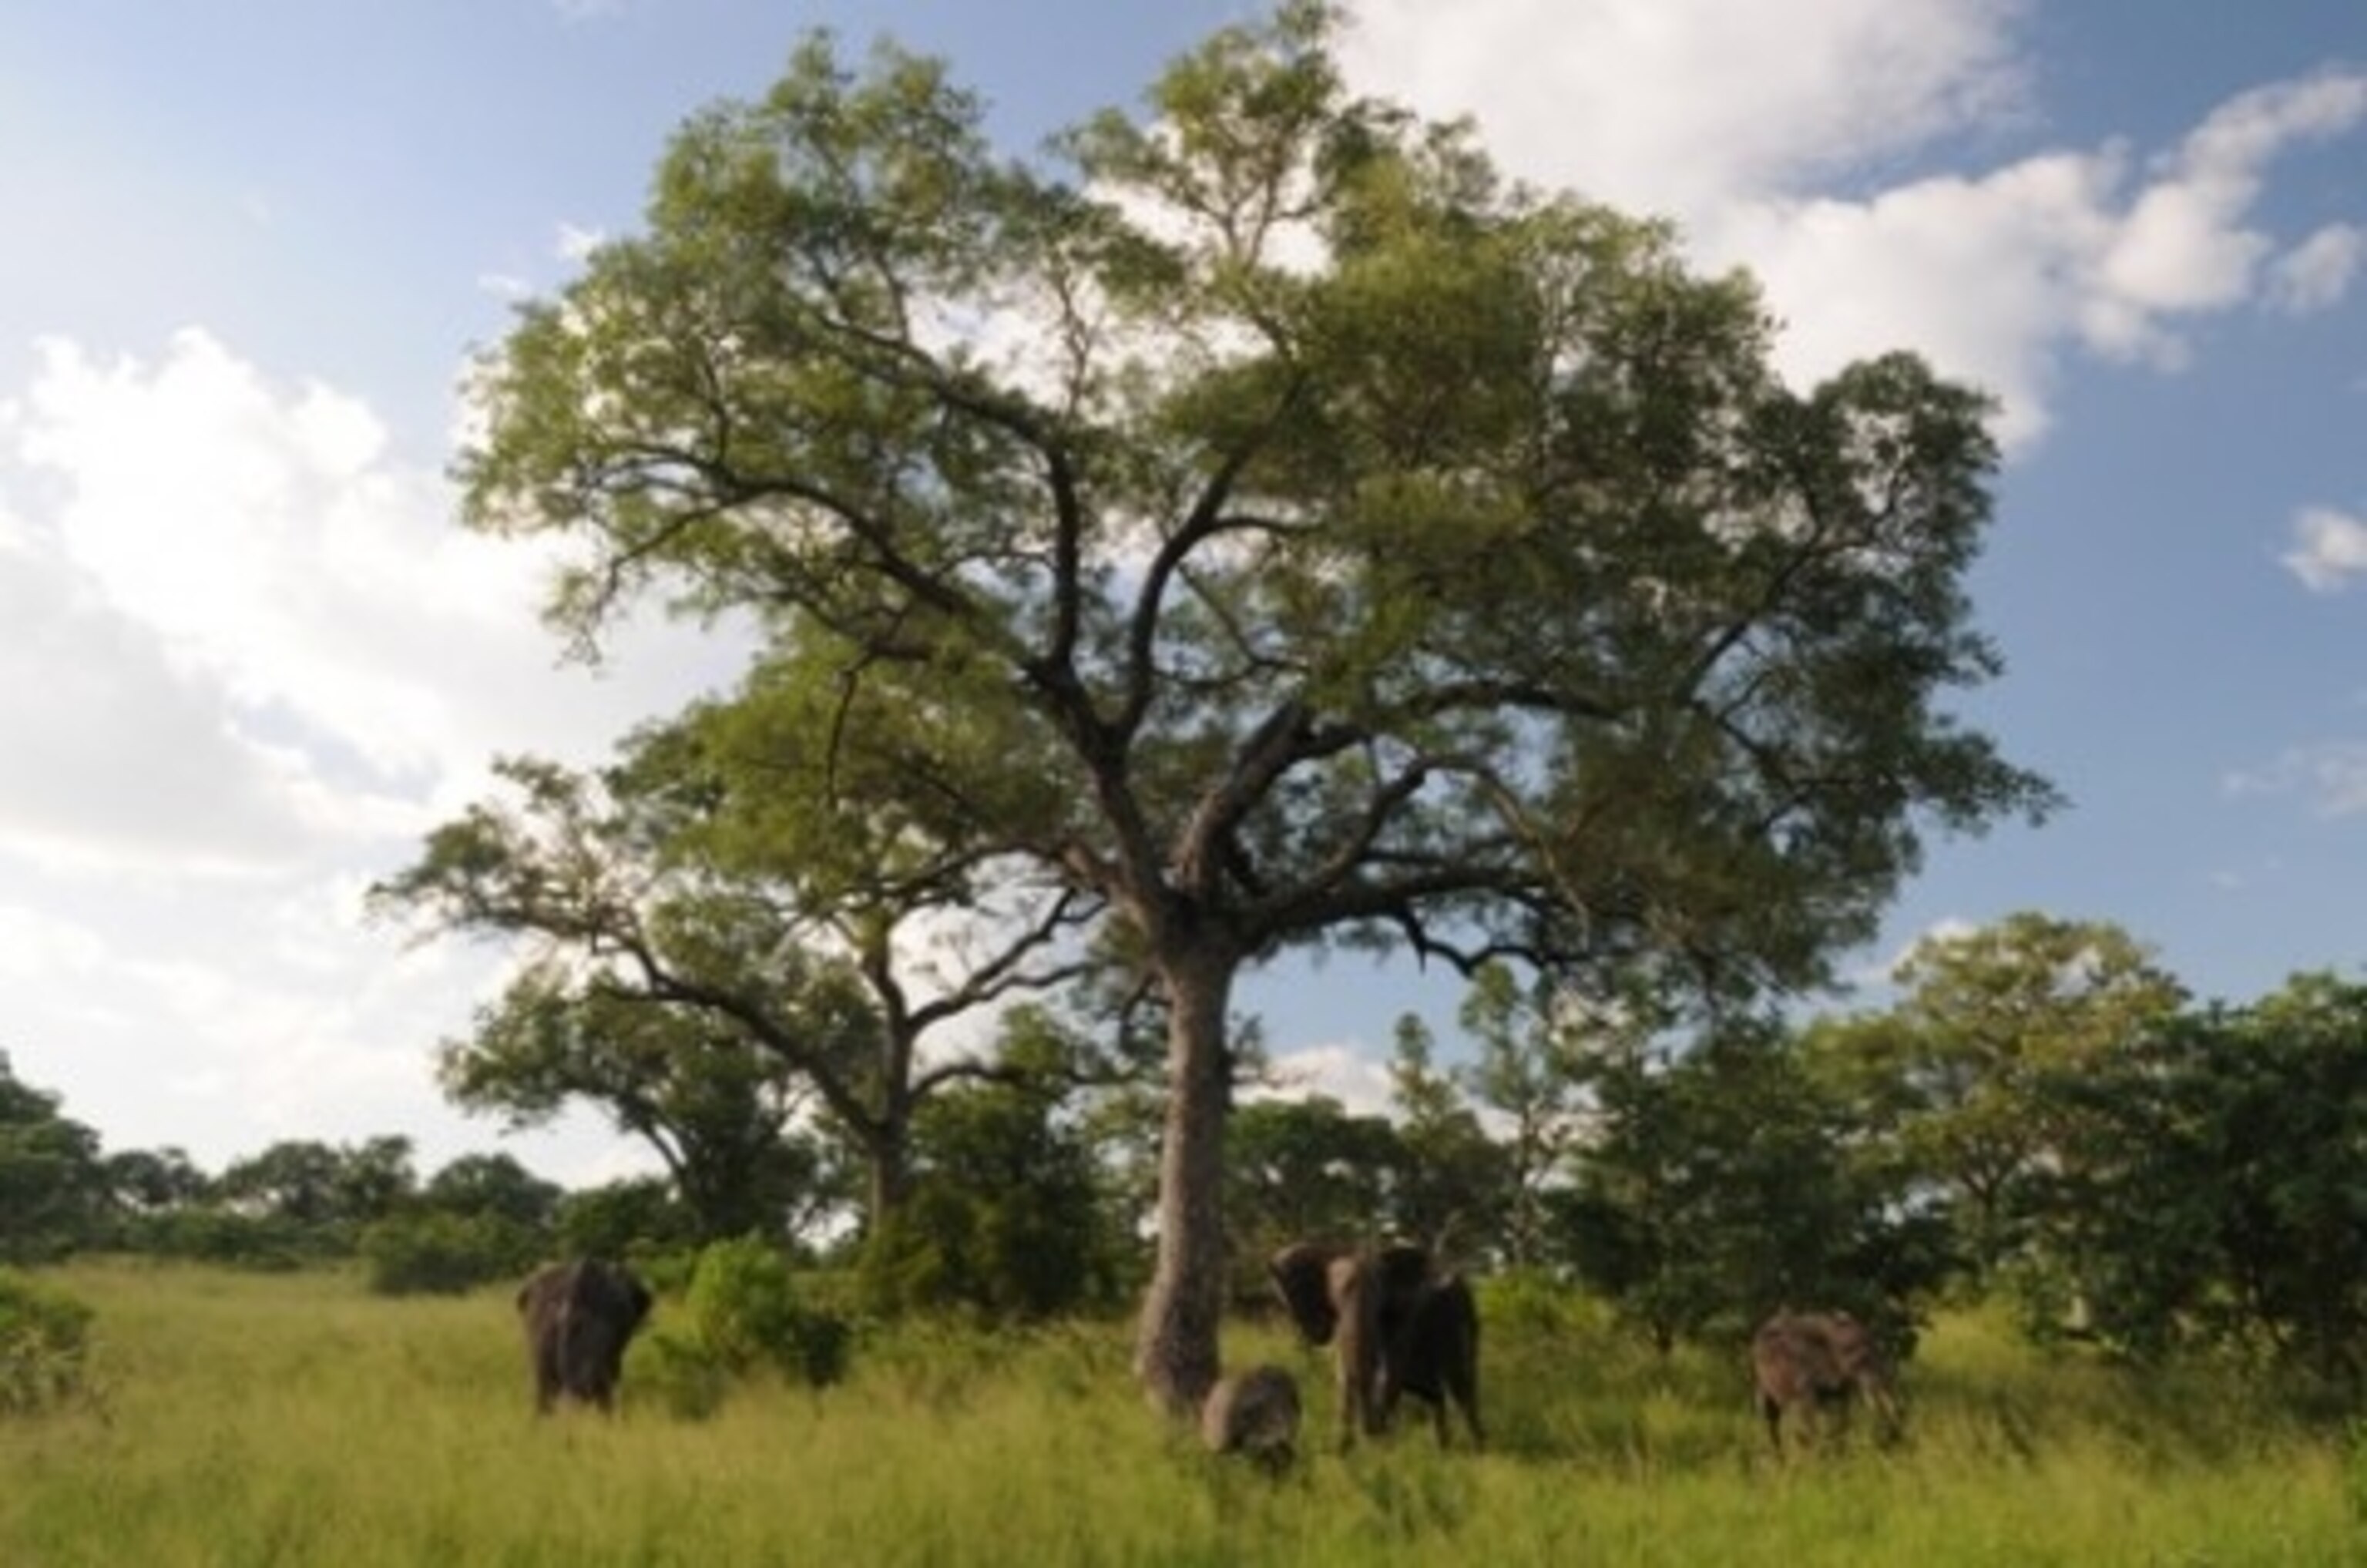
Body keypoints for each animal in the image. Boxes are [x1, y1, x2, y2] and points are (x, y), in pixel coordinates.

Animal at [1269, 1239, 1483, 1451]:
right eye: (1336, 1299)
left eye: (1380, 1297)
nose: (1374, 1430)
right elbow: (1344, 1373)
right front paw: (1343, 1450)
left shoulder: (1405, 1318)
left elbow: (1390, 1372)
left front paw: (1381, 1447)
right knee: (1435, 1391)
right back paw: (1444, 1449)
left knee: (1460, 1385)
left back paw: (1475, 1449)